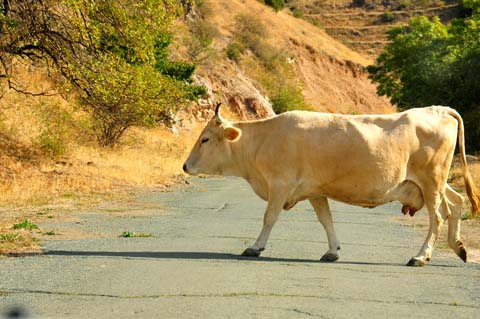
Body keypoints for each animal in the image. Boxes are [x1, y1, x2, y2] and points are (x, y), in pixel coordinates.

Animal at [182, 104, 478, 266]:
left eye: (205, 139)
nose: (185, 166)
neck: (264, 140)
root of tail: (437, 109)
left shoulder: (280, 185)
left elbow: (269, 218)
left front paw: (255, 247)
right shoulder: (315, 190)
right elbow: (326, 220)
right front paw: (332, 250)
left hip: (432, 181)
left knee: (437, 217)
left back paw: (421, 256)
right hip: (433, 184)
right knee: (456, 203)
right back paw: (458, 247)